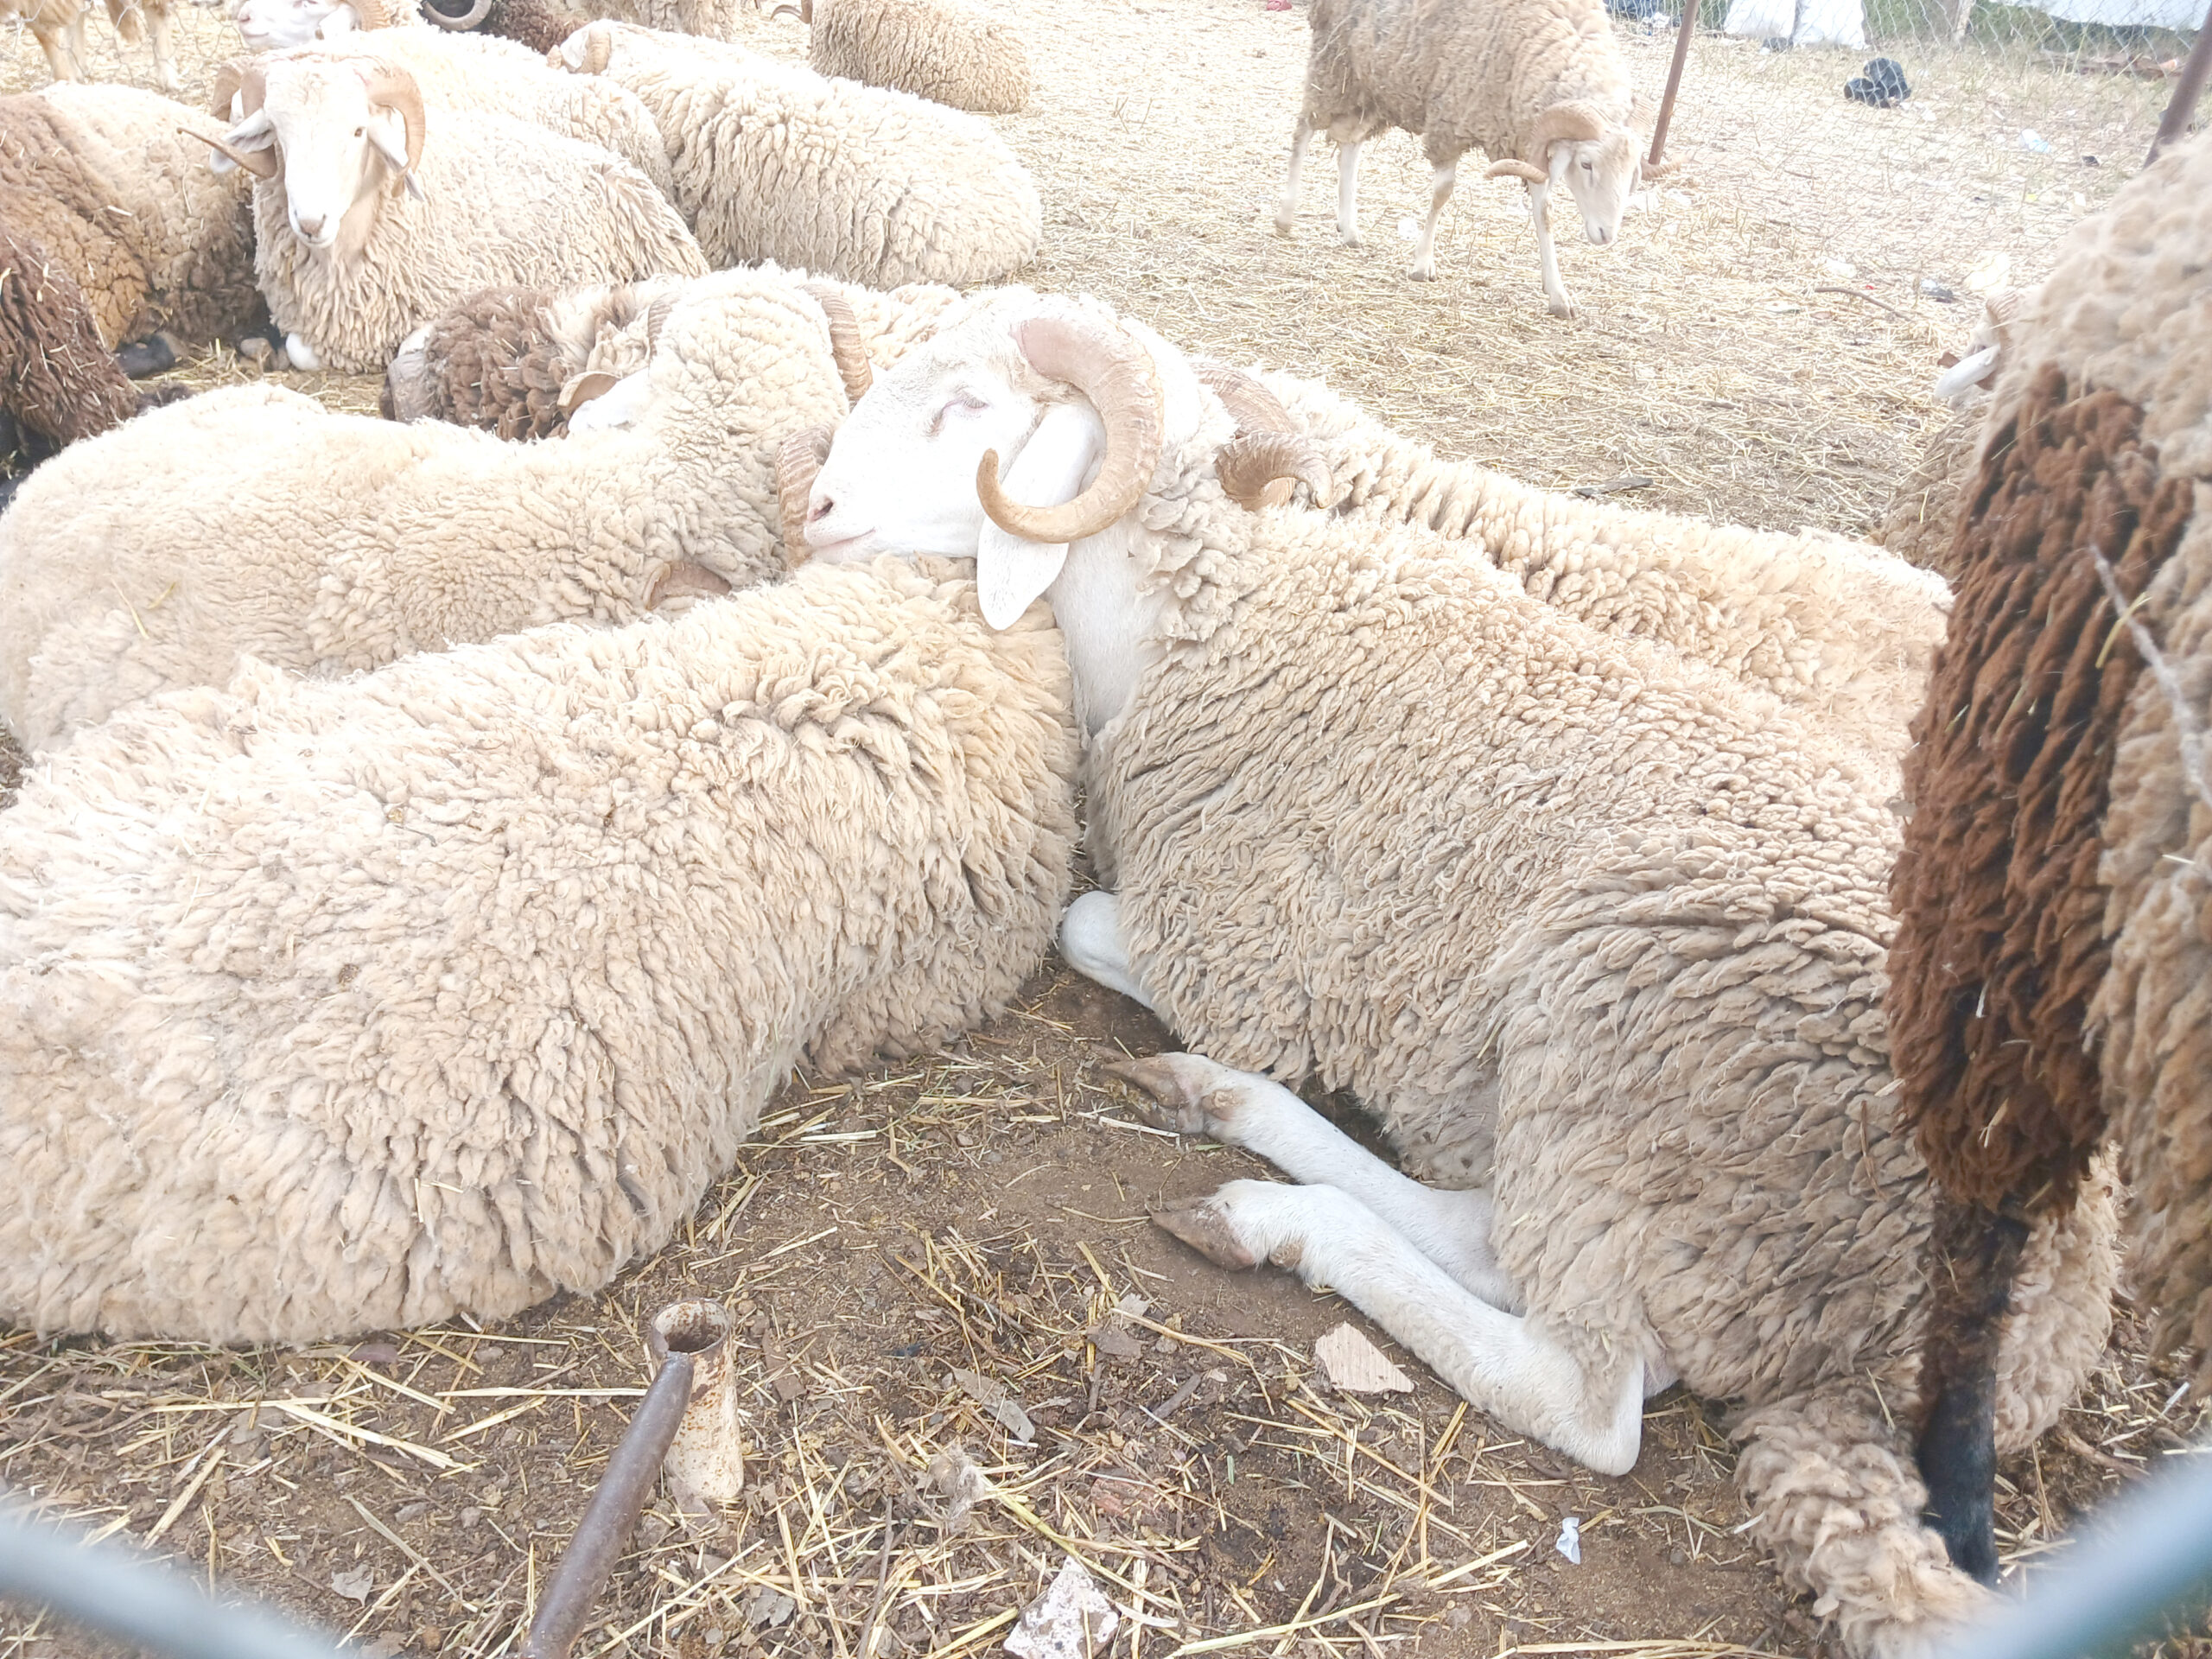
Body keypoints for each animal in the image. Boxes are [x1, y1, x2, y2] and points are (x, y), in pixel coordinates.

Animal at [791, 287, 2120, 1658]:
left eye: (968, 407)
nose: (812, 508)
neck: (1217, 621)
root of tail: (2042, 1302)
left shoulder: (1228, 945)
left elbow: (1085, 927)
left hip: (1624, 1050)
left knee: (1586, 1390)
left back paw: (1278, 1214)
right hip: (1626, 1149)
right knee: (1493, 1239)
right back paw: (1231, 1121)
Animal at [1273, 0, 1663, 314]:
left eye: (1632, 175)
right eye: (1586, 164)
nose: (1606, 235)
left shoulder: (1531, 141)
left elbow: (1544, 214)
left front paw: (1558, 295)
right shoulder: (1451, 118)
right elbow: (1442, 193)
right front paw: (1422, 264)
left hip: (1373, 84)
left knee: (1351, 145)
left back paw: (1350, 229)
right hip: (1333, 65)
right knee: (1303, 130)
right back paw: (1286, 216)